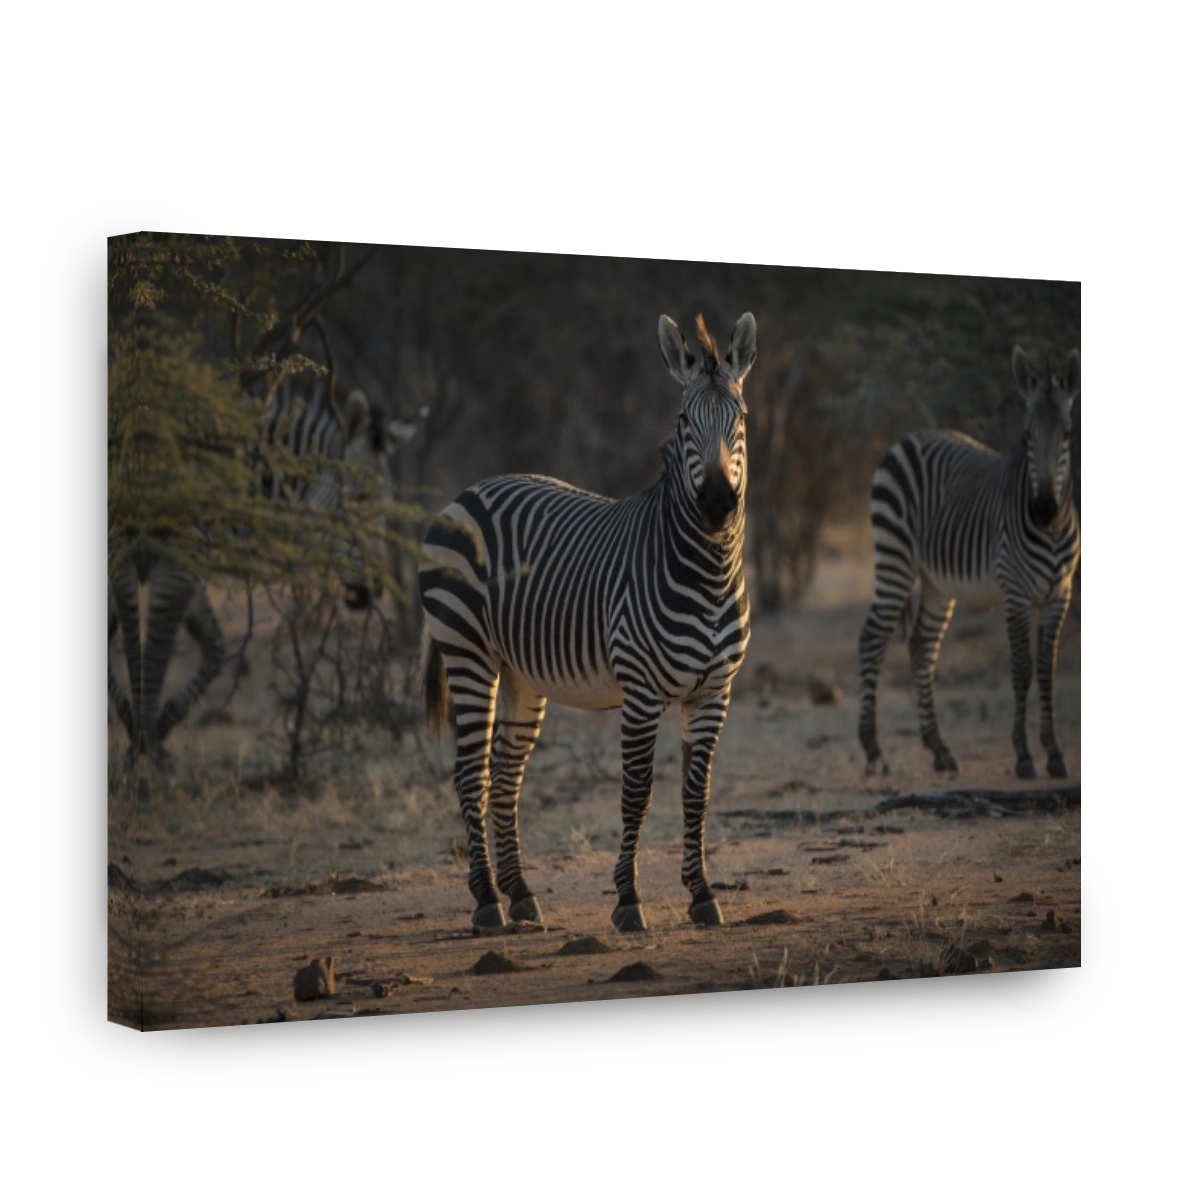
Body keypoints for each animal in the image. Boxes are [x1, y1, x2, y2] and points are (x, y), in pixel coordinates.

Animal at [108, 381, 424, 760]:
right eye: (359, 498)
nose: (375, 589)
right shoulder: (168, 564)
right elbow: (151, 649)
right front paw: (143, 750)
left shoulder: (188, 567)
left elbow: (215, 647)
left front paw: (154, 728)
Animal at [419, 311, 757, 933]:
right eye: (683, 421)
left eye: (741, 417)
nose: (719, 501)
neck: (709, 570)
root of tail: (468, 490)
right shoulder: (642, 691)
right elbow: (636, 793)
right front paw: (628, 900)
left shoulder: (714, 690)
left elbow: (695, 793)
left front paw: (701, 894)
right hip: (467, 651)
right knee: (471, 772)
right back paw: (487, 902)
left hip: (520, 671)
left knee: (506, 772)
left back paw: (521, 895)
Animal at [857, 345, 1084, 781]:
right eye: (1027, 435)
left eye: (1067, 434)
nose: (1045, 508)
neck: (1049, 529)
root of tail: (908, 437)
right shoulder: (1016, 594)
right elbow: (1021, 668)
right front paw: (1024, 756)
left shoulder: (1059, 595)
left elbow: (1047, 670)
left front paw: (1054, 753)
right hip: (894, 558)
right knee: (872, 639)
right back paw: (873, 751)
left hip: (936, 582)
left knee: (921, 645)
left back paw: (939, 749)